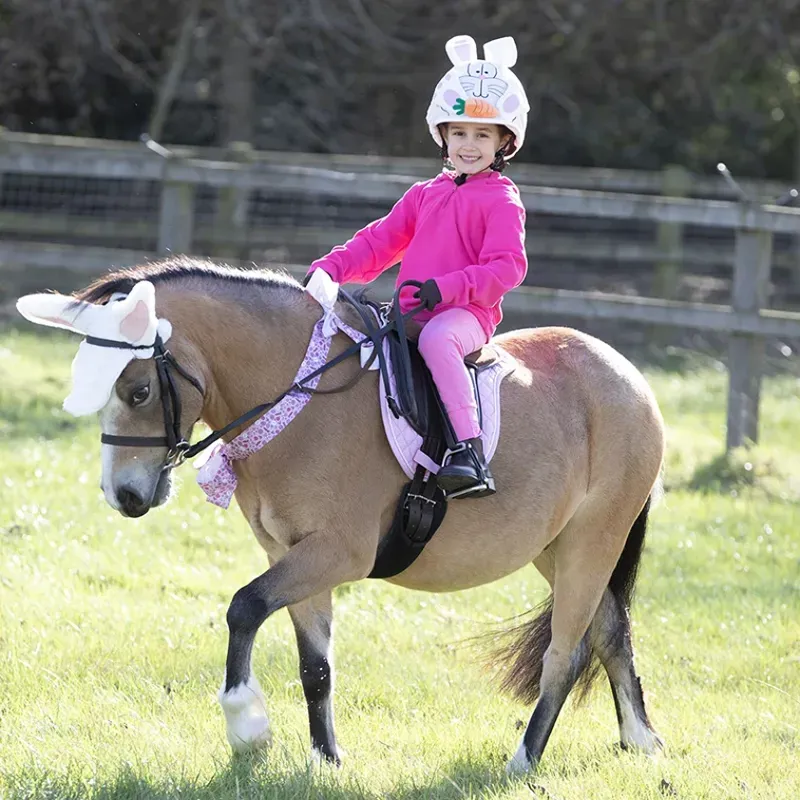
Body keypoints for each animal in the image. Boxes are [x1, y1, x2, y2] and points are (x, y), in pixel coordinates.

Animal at [22, 256, 666, 773]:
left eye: (138, 392)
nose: (124, 495)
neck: (300, 399)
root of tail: (628, 375)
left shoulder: (337, 553)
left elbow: (244, 607)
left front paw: (247, 726)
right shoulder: (292, 554)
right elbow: (316, 666)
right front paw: (326, 758)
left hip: (593, 538)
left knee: (566, 651)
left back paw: (524, 760)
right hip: (557, 546)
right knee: (609, 630)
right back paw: (641, 741)